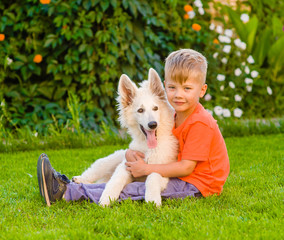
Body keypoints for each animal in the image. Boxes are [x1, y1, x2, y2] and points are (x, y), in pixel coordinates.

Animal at [74, 68, 180, 206]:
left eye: (155, 108)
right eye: (140, 110)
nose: (153, 124)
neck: (148, 147)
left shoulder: (163, 169)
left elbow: (152, 177)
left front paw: (152, 199)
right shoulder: (126, 165)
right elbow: (115, 180)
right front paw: (107, 198)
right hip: (109, 161)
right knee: (94, 173)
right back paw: (79, 179)